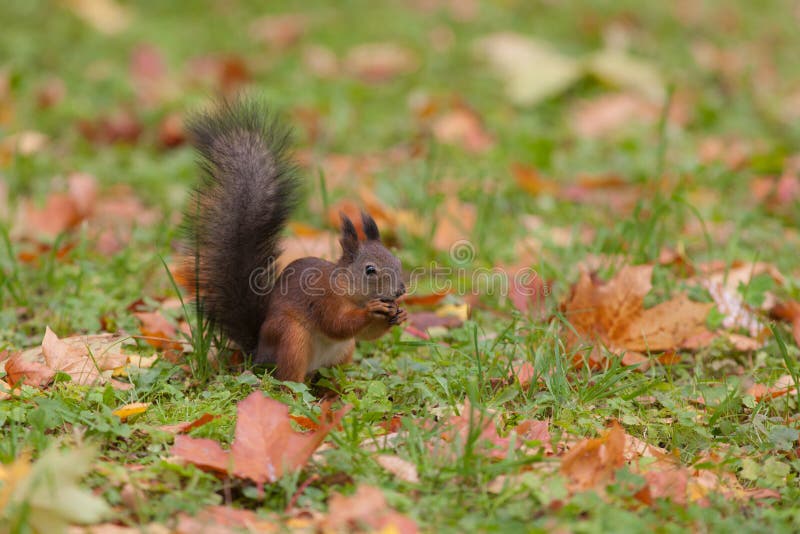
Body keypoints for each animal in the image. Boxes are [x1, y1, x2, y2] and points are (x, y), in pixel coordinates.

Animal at [183, 97, 407, 382]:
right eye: (370, 270)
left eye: (398, 261)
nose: (400, 291)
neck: (347, 288)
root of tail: (259, 353)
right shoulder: (322, 300)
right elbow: (338, 324)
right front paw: (372, 311)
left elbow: (367, 335)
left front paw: (400, 314)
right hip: (291, 338)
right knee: (290, 377)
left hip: (343, 352)